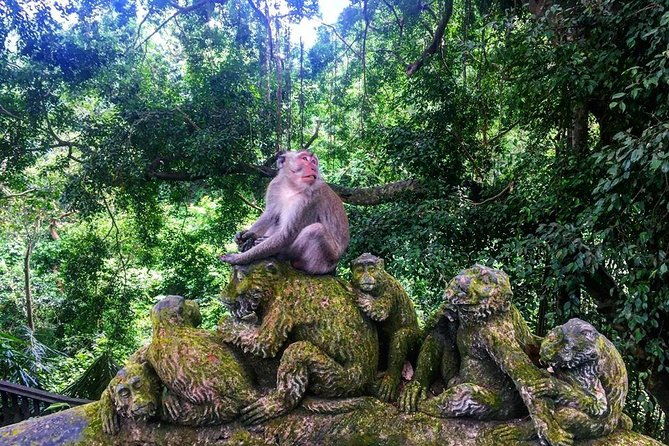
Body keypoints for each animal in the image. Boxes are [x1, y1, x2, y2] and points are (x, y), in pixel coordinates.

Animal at [219, 150, 349, 275]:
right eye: (305, 159)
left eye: (313, 162)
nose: (313, 167)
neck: (292, 186)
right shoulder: (275, 184)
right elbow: (270, 215)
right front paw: (246, 235)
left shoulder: (310, 197)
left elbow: (287, 234)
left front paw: (238, 258)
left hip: (325, 261)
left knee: (315, 230)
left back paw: (282, 255)